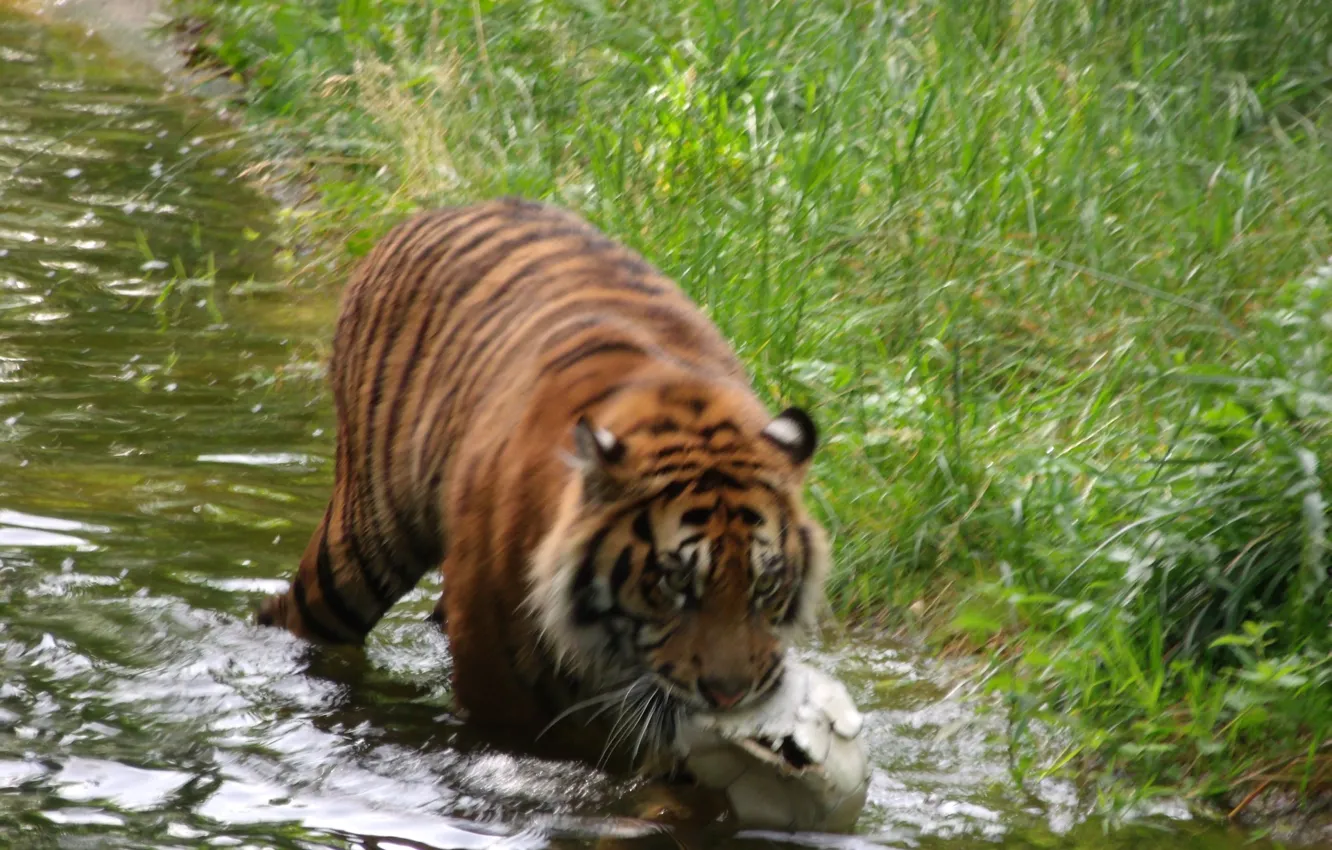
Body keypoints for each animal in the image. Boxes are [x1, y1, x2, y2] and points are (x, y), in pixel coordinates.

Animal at [256, 197, 831, 774]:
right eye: (674, 583)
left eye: (766, 583)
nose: (729, 696)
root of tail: (434, 212)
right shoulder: (502, 698)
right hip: (362, 545)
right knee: (292, 616)